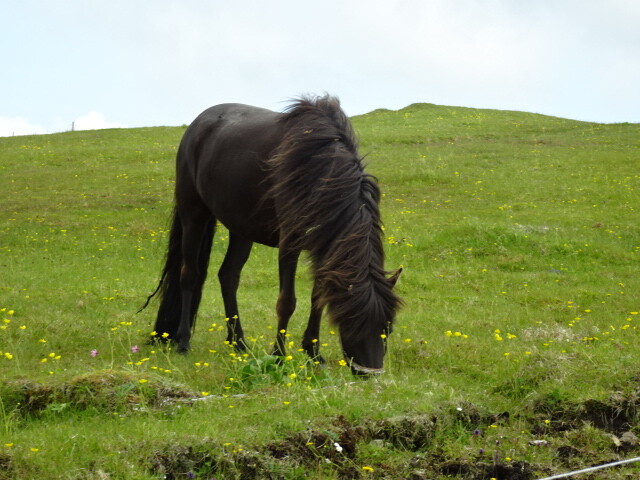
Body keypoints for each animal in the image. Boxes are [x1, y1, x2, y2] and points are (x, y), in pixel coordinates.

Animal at [142, 95, 402, 375]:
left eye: (388, 327)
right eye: (353, 321)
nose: (370, 373)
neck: (319, 169)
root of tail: (197, 125)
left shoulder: (324, 247)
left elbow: (318, 298)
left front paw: (314, 353)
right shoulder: (289, 244)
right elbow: (287, 302)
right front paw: (278, 355)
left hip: (241, 229)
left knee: (228, 276)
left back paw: (238, 342)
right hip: (194, 215)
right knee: (189, 275)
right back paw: (183, 342)